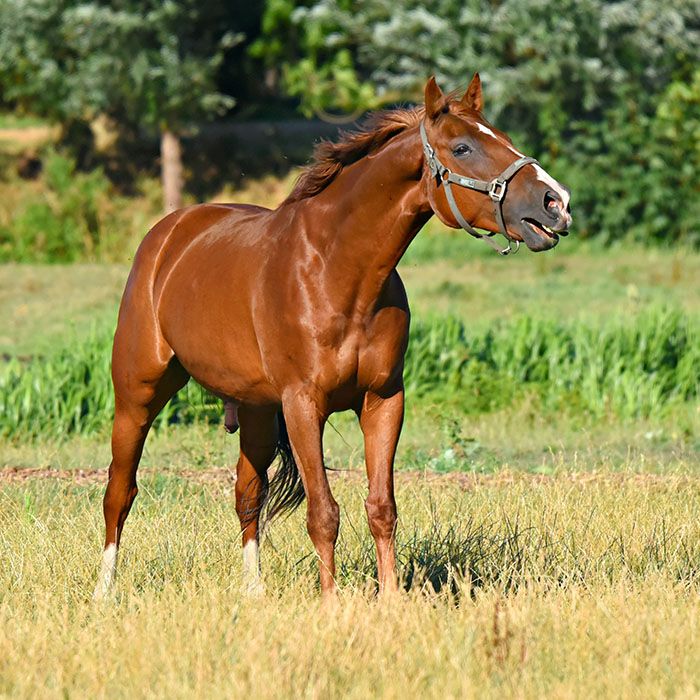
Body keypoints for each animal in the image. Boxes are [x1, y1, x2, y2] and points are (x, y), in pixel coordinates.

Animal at [93, 74, 572, 600]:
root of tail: (168, 233)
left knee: (247, 494)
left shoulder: (383, 400)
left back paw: (254, 592)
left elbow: (381, 508)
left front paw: (391, 599)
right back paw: (103, 592)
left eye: (504, 136)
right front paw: (330, 603)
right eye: (462, 147)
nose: (556, 203)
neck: (338, 271)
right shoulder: (304, 404)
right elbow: (323, 513)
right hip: (138, 393)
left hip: (256, 411)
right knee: (120, 490)